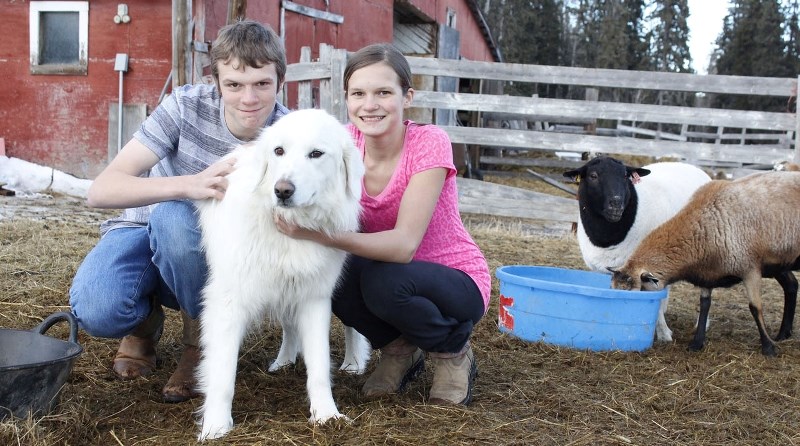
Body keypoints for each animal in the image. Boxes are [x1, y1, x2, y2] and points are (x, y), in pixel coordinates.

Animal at [194, 109, 372, 442]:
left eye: (316, 154)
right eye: (279, 151)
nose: (282, 190)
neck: (289, 226)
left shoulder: (315, 298)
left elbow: (319, 365)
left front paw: (327, 415)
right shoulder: (229, 302)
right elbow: (222, 372)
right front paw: (216, 426)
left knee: (351, 326)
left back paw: (354, 362)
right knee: (289, 326)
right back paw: (285, 361)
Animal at [564, 157, 712, 342]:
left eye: (625, 176)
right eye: (593, 176)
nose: (616, 204)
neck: (607, 238)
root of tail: (693, 167)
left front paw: (664, 333)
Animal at [608, 171, 800, 356]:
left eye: (635, 294)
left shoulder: (749, 268)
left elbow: (755, 307)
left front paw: (768, 348)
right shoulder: (708, 273)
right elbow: (704, 305)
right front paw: (697, 343)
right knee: (791, 285)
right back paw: (783, 334)